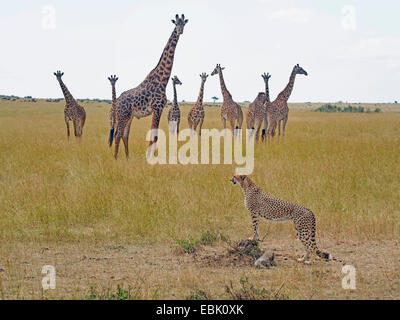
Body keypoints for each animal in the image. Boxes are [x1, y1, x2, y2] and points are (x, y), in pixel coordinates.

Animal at [109, 13, 189, 159]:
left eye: (184, 23)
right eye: (176, 23)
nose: (180, 31)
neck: (163, 80)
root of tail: (116, 103)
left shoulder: (159, 109)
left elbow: (154, 135)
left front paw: (151, 156)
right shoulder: (156, 108)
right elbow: (154, 135)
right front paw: (150, 157)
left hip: (129, 116)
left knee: (124, 135)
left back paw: (127, 158)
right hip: (122, 115)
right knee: (118, 134)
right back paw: (116, 159)